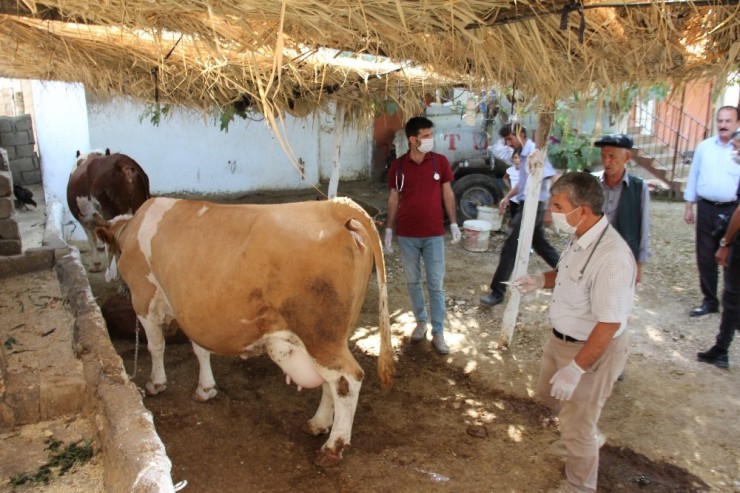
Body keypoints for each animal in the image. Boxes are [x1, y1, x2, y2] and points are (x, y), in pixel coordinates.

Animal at [95, 196, 396, 466]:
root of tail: (333, 207)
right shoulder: (194, 310)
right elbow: (200, 349)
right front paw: (205, 388)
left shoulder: (144, 299)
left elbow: (156, 346)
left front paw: (156, 383)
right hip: (332, 335)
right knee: (330, 382)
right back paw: (318, 424)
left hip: (319, 333)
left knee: (347, 379)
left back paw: (333, 447)